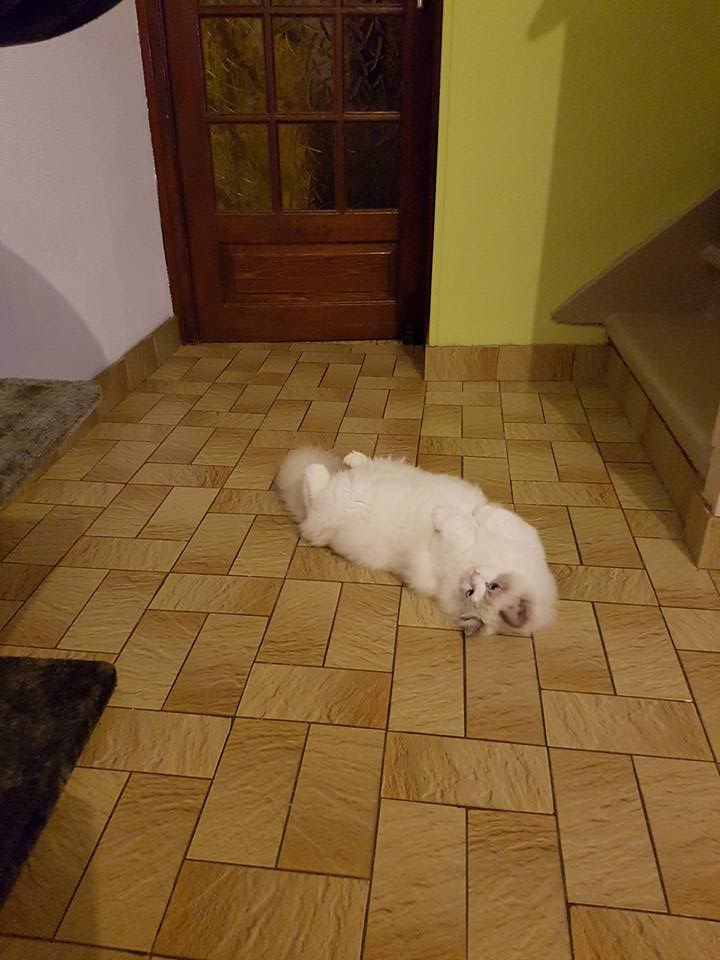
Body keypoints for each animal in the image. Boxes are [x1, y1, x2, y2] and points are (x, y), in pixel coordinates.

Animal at [275, 446, 557, 636]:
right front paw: (473, 514)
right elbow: (489, 516)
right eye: (493, 587)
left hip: (334, 507)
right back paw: (352, 458)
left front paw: (442, 513)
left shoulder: (441, 554)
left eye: (474, 593)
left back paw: (313, 469)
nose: (473, 576)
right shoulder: (521, 534)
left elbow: (457, 527)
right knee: (362, 465)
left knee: (313, 499)